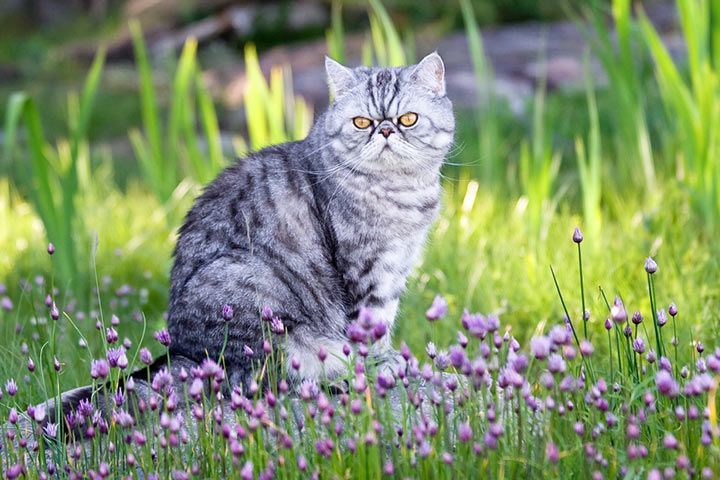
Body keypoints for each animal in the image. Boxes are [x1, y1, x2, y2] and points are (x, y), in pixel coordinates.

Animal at [167, 51, 456, 386]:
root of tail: (180, 350)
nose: (384, 130)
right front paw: (380, 362)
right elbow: (370, 323)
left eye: (408, 119)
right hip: (254, 286)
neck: (400, 189)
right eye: (362, 122)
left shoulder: (396, 267)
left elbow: (385, 316)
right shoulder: (366, 267)